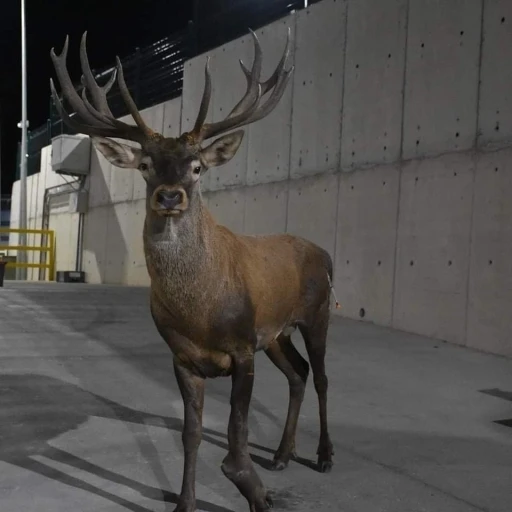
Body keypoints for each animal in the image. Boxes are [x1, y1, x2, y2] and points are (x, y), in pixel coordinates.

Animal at [49, 30, 336, 510]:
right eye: (146, 164)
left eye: (197, 167)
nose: (169, 195)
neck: (201, 311)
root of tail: (326, 253)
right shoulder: (183, 356)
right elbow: (191, 433)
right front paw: (185, 501)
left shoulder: (243, 346)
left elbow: (236, 434)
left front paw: (255, 491)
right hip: (277, 333)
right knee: (298, 373)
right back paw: (281, 454)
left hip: (318, 314)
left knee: (323, 377)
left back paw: (325, 456)